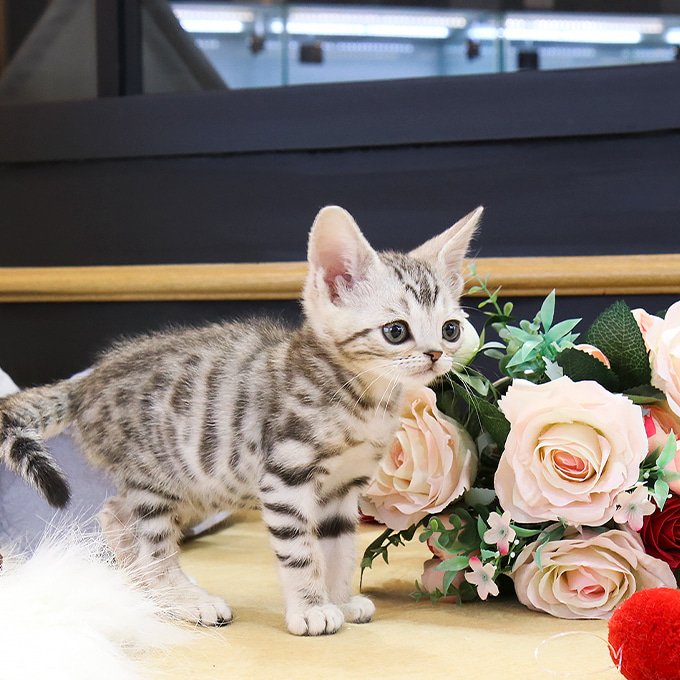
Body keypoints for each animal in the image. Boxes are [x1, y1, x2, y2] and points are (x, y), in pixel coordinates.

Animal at [0, 205, 481, 635]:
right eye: (395, 331)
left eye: (450, 329)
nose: (436, 354)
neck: (360, 400)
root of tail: (90, 379)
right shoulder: (285, 478)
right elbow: (301, 551)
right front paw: (312, 609)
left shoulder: (344, 489)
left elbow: (339, 547)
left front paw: (340, 599)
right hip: (158, 476)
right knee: (148, 538)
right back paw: (183, 598)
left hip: (193, 483)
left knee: (116, 512)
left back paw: (148, 591)